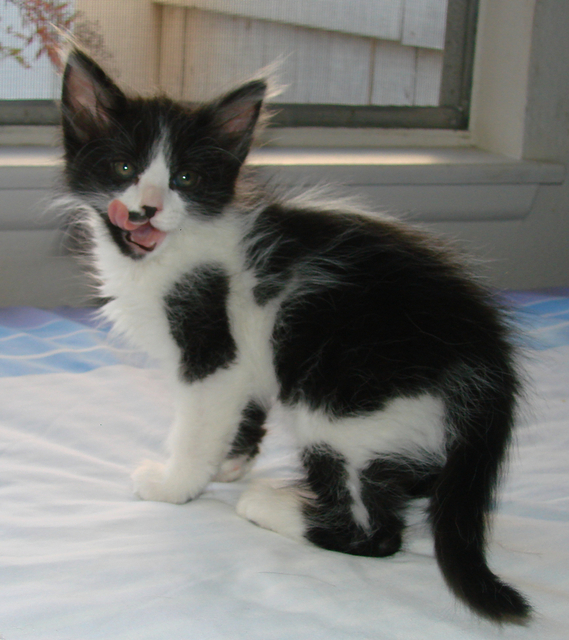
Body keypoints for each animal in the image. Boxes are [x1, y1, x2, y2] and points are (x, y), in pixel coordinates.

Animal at [60, 50, 532, 624]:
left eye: (185, 177)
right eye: (123, 169)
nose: (145, 209)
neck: (167, 254)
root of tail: (487, 348)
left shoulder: (211, 347)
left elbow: (196, 425)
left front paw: (177, 483)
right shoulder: (245, 356)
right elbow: (243, 406)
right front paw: (231, 460)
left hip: (345, 397)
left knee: (377, 533)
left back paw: (273, 505)